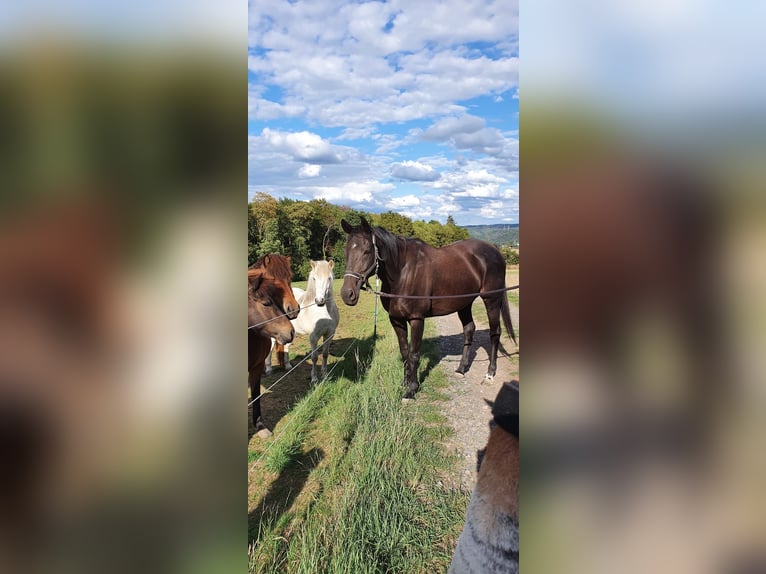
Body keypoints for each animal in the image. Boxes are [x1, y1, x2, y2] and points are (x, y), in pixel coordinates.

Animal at [248, 255, 300, 438]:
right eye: (265, 303)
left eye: (290, 278)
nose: (294, 309)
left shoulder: (256, 367)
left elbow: (256, 394)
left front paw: (260, 426)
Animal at [340, 217, 516, 399]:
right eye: (346, 250)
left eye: (367, 251)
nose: (347, 294)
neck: (402, 272)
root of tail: (494, 249)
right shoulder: (396, 320)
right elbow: (405, 352)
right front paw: (405, 383)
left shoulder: (417, 319)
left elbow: (414, 354)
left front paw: (411, 389)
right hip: (464, 303)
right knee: (469, 330)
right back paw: (461, 369)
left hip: (492, 300)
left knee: (495, 333)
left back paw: (490, 374)